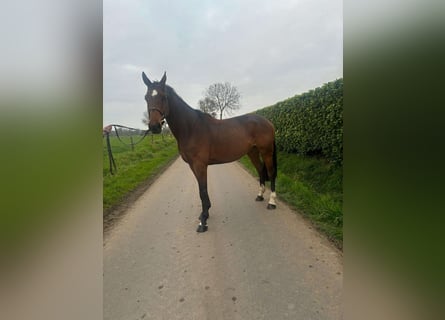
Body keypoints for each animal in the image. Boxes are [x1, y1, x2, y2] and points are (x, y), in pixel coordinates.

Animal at [142, 72, 276, 232]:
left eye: (163, 97)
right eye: (146, 97)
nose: (154, 126)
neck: (191, 128)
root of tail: (267, 121)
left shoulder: (200, 165)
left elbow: (203, 190)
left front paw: (203, 221)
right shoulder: (192, 166)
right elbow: (202, 190)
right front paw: (204, 215)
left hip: (266, 151)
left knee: (271, 172)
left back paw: (272, 202)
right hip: (253, 152)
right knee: (261, 169)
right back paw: (260, 195)